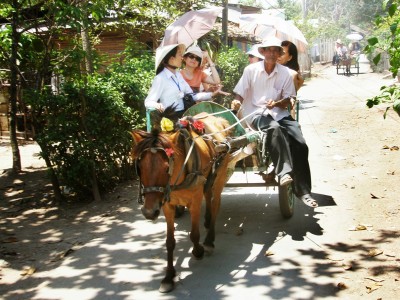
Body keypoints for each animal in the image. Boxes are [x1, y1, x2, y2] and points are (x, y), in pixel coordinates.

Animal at [131, 113, 231, 292]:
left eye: (166, 168)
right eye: (140, 167)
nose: (149, 212)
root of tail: (218, 119)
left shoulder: (195, 201)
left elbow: (194, 234)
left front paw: (198, 251)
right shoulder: (166, 206)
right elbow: (170, 242)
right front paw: (168, 276)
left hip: (220, 175)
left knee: (215, 203)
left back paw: (209, 240)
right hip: (208, 177)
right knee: (208, 194)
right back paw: (207, 221)